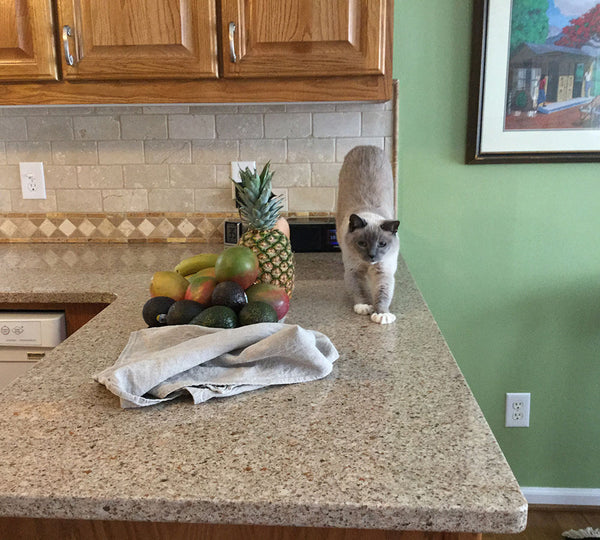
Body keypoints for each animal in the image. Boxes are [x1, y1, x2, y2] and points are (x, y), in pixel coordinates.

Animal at [338, 146, 398, 324]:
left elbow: (382, 295)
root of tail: (365, 146)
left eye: (382, 244)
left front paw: (381, 315)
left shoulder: (383, 272)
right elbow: (359, 291)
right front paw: (364, 307)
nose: (372, 255)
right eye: (362, 243)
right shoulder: (354, 271)